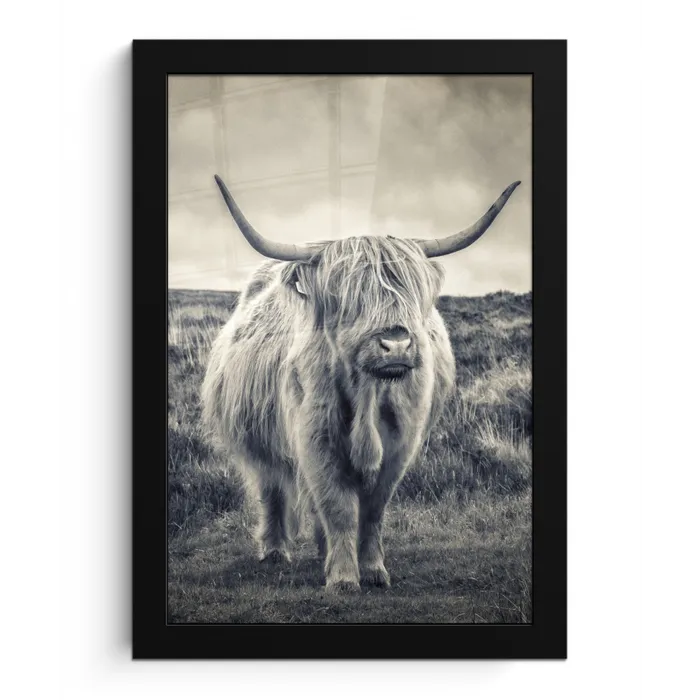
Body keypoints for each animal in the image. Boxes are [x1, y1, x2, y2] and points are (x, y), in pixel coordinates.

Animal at [201, 174, 521, 593]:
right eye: (347, 296)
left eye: (410, 291)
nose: (396, 344)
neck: (369, 394)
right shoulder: (315, 437)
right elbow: (336, 505)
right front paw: (342, 578)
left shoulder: (400, 443)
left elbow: (372, 509)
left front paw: (371, 570)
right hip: (258, 438)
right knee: (272, 488)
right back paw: (274, 550)